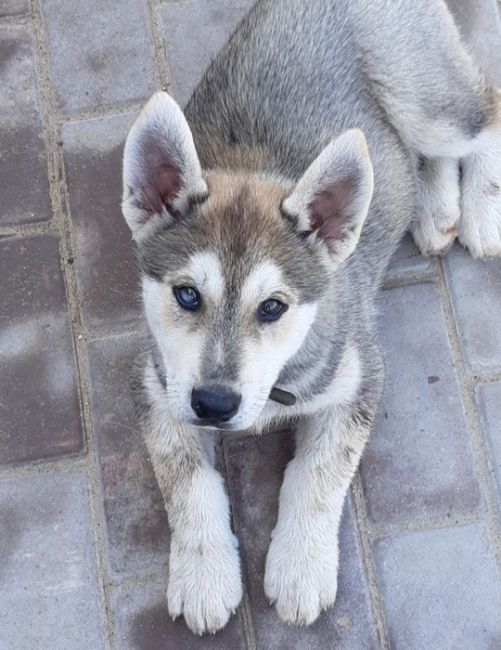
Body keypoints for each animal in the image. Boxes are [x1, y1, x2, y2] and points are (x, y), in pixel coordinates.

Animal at [121, 0, 500, 632]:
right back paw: (435, 208)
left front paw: (301, 566)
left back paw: (480, 209)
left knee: (488, 109)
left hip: (426, 97)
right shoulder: (157, 384)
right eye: (187, 296)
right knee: (410, 158)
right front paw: (204, 574)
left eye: (273, 307)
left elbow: (319, 476)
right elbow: (185, 479)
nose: (215, 405)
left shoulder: (359, 378)